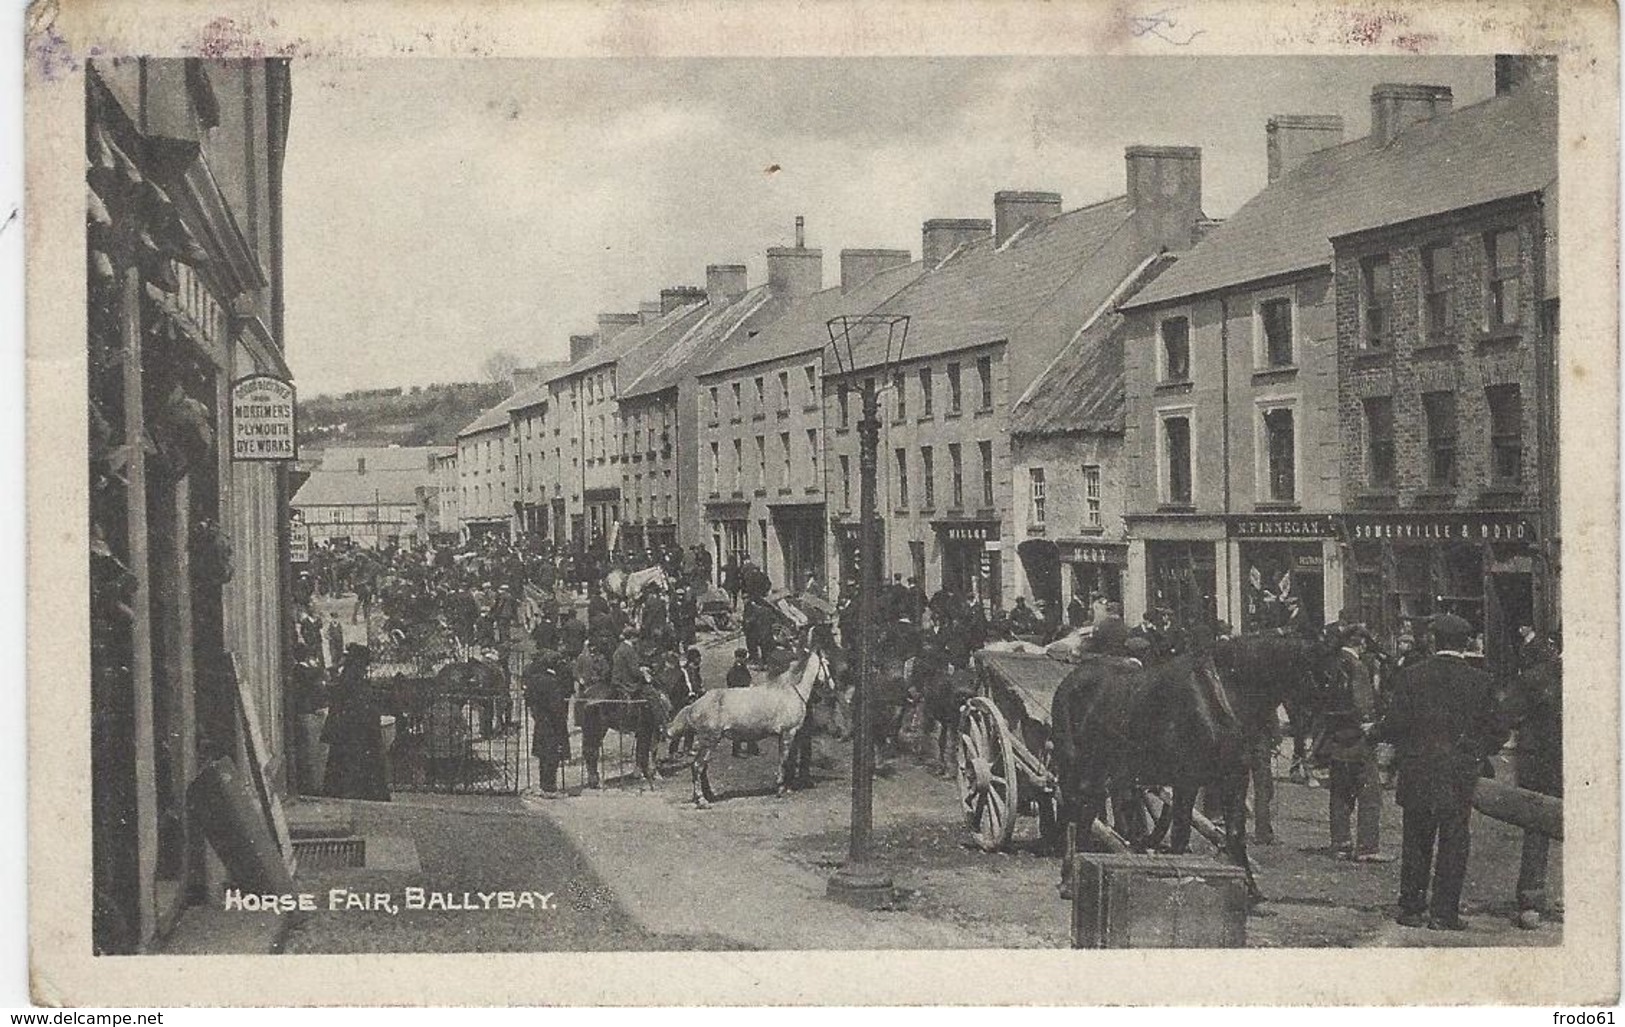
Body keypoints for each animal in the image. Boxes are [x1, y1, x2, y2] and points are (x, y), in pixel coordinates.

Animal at [666, 650, 851, 809]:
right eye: (827, 664)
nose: (832, 686)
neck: (791, 691)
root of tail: (693, 705)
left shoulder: (788, 734)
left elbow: (789, 759)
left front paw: (787, 785)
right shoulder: (788, 733)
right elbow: (784, 759)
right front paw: (780, 788)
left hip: (709, 743)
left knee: (702, 768)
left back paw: (709, 795)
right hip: (709, 741)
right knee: (697, 767)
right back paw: (702, 800)